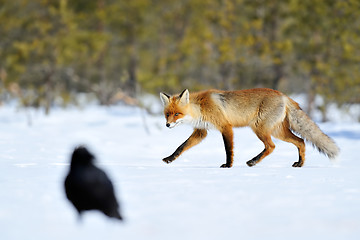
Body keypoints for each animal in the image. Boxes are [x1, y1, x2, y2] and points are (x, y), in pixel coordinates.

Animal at [160, 87, 340, 168]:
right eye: (167, 114)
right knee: (301, 141)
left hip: (260, 129)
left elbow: (228, 149)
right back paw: (300, 163)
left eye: (177, 114)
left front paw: (228, 165)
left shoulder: (226, 127)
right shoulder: (201, 131)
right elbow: (181, 147)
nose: (167, 125)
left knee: (271, 146)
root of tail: (283, 95)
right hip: (278, 132)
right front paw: (170, 158)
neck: (200, 108)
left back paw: (253, 161)